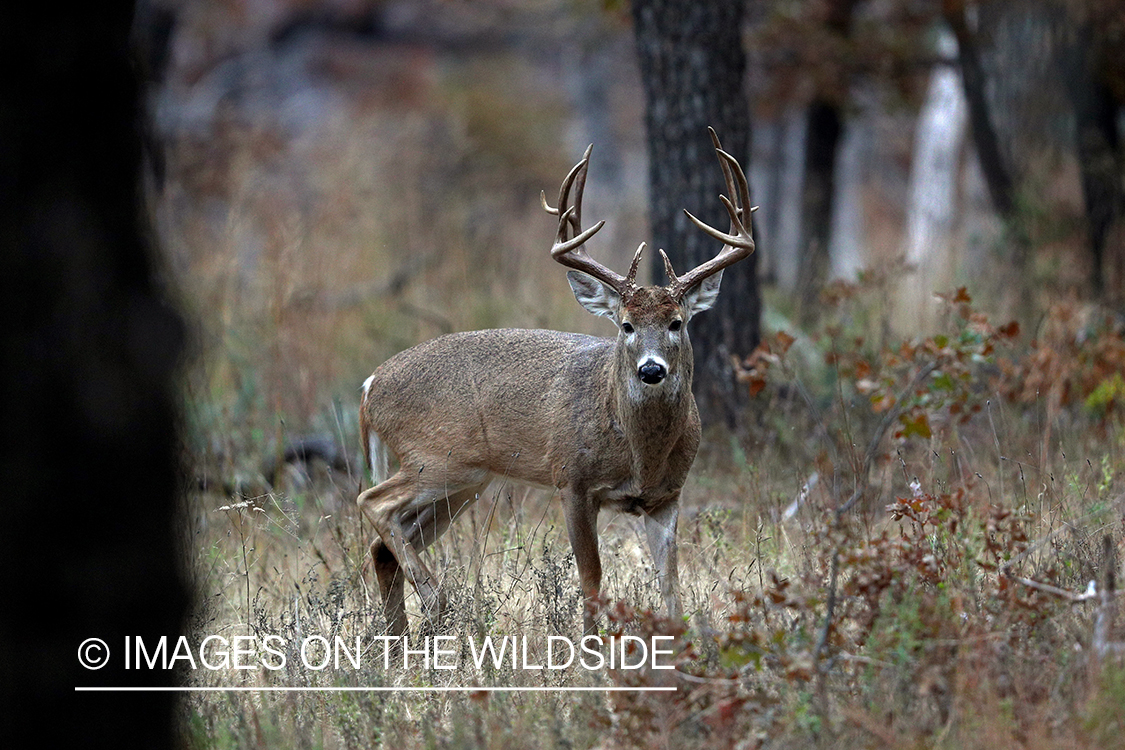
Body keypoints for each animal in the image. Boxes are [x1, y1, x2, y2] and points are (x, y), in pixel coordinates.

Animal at [355, 130, 751, 638]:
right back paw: (437, 601)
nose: (651, 370)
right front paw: (589, 646)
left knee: (384, 544)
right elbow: (591, 577)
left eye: (677, 323)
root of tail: (370, 386)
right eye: (625, 325)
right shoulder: (572, 480)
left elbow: (671, 586)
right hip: (438, 457)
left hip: (464, 481)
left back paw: (401, 638)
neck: (640, 454)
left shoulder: (667, 496)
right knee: (373, 502)